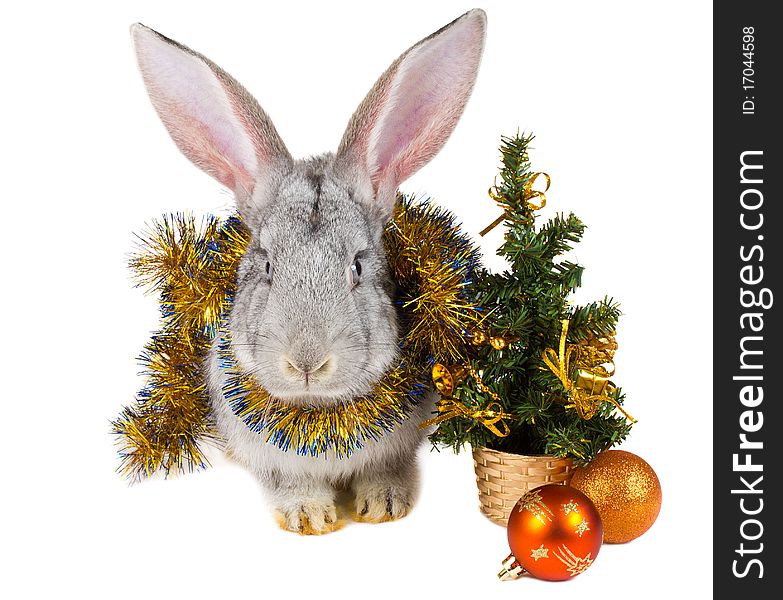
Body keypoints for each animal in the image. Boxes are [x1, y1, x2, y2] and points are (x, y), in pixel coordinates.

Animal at [132, 9, 486, 536]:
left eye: (357, 266)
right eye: (266, 265)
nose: (306, 363)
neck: (320, 410)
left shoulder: (399, 445)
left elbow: (387, 470)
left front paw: (385, 506)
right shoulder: (275, 461)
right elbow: (295, 484)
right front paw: (310, 517)